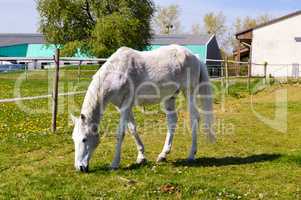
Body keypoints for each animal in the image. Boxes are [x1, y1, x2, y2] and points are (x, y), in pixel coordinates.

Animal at [71, 45, 214, 172]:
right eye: (73, 139)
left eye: (84, 139)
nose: (80, 168)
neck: (116, 72)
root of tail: (195, 57)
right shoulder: (122, 107)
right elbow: (132, 129)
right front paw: (141, 157)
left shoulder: (126, 105)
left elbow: (121, 133)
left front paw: (114, 164)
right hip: (170, 97)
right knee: (172, 121)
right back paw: (163, 155)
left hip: (189, 92)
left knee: (194, 118)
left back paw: (191, 155)